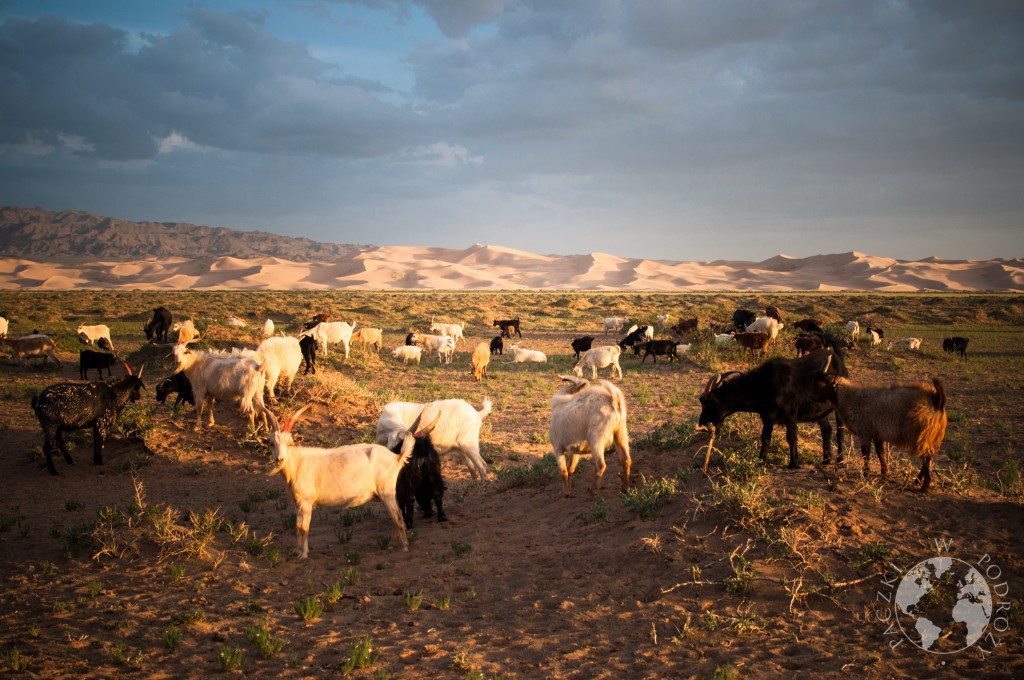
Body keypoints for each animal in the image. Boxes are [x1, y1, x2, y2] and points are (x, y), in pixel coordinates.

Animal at [268, 403, 440, 557]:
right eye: (271, 444)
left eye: (290, 443)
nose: (279, 459)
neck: (298, 463)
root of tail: (396, 457)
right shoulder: (298, 503)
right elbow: (297, 527)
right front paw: (296, 552)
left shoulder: (306, 503)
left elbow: (304, 528)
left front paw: (303, 554)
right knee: (394, 517)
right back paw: (392, 544)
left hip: (387, 492)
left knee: (398, 516)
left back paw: (404, 547)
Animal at [696, 348, 847, 471]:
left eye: (709, 403)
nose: (702, 425)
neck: (765, 385)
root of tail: (838, 360)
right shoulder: (768, 417)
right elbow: (765, 438)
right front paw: (760, 461)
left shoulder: (791, 414)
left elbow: (791, 437)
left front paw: (793, 464)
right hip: (821, 413)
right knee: (826, 430)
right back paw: (826, 460)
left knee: (840, 431)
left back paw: (840, 460)